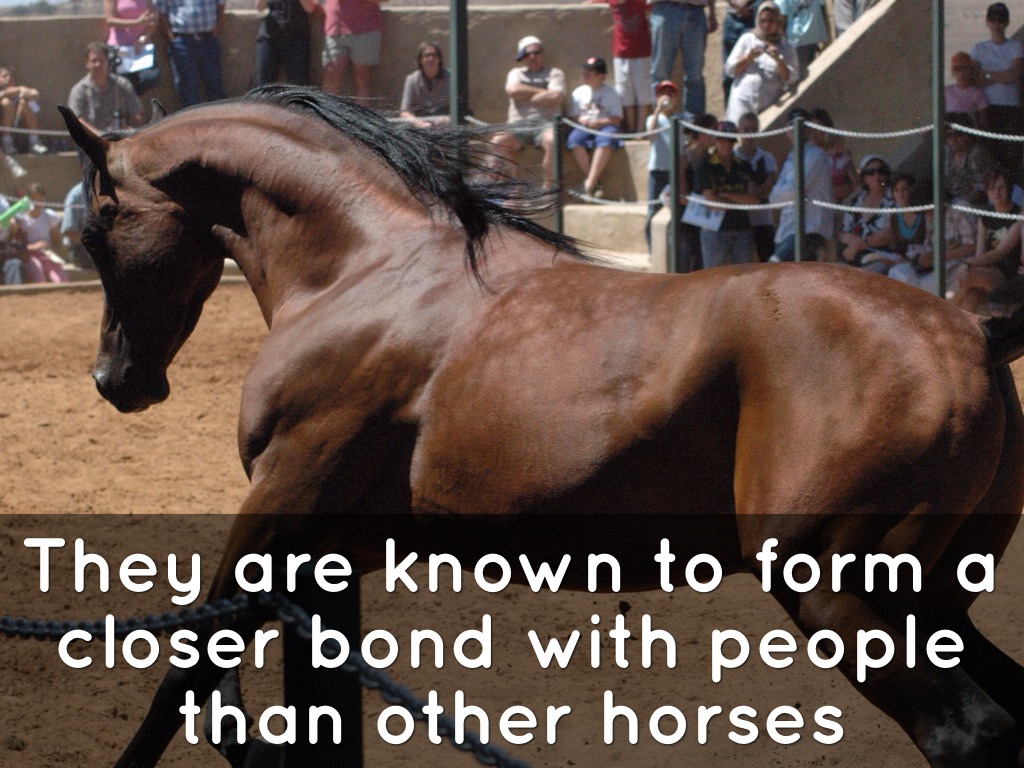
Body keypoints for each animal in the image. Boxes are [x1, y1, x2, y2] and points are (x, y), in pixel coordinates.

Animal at [59, 84, 1024, 768]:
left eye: (96, 230)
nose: (115, 381)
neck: (366, 269)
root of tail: (972, 333)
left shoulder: (282, 502)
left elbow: (186, 671)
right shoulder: (334, 545)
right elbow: (243, 692)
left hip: (836, 585)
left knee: (968, 734)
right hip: (933, 596)